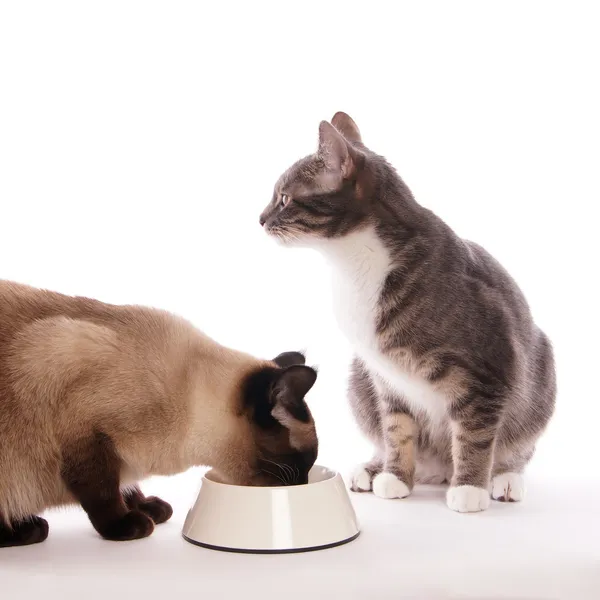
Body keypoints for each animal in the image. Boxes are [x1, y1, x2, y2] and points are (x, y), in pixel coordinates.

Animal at [260, 111, 556, 510]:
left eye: (285, 198)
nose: (260, 218)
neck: (354, 265)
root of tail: (440, 467)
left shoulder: (487, 370)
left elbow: (476, 433)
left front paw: (470, 488)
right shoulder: (386, 378)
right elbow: (396, 429)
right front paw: (396, 476)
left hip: (539, 379)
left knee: (515, 445)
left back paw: (503, 477)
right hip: (359, 379)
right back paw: (374, 468)